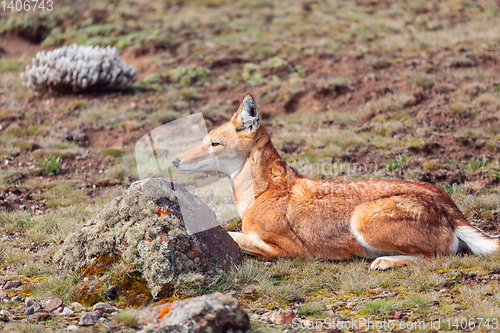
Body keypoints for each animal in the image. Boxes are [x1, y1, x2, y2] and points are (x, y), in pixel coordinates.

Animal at [171, 94, 496, 270]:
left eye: (214, 144)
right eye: (203, 141)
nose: (175, 160)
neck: (258, 193)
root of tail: (447, 203)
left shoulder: (289, 251)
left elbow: (235, 237)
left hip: (362, 219)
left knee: (442, 257)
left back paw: (387, 262)